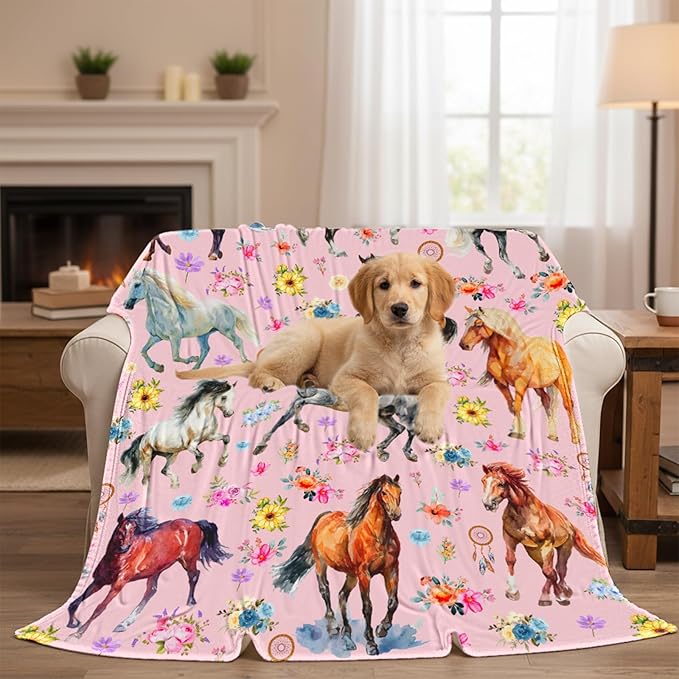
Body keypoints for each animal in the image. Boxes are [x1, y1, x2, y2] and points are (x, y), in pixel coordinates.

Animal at [67, 509, 230, 639]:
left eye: (133, 530)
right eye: (121, 529)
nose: (125, 547)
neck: (116, 559)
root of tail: (195, 523)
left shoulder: (118, 584)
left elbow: (99, 608)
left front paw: (78, 633)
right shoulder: (99, 581)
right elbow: (75, 602)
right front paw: (73, 623)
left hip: (187, 560)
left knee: (194, 575)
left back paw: (191, 601)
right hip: (157, 569)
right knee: (151, 591)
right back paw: (124, 624)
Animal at [123, 269, 258, 372]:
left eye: (137, 284)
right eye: (129, 285)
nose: (126, 304)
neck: (163, 313)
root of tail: (227, 306)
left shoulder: (175, 337)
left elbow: (175, 357)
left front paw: (191, 358)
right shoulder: (156, 337)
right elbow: (143, 351)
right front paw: (157, 367)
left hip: (226, 330)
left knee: (238, 341)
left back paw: (245, 361)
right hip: (203, 335)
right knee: (205, 349)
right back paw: (195, 368)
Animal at [272, 475, 401, 656]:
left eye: (400, 491)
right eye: (384, 492)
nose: (396, 514)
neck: (377, 536)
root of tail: (323, 517)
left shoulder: (391, 569)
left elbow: (393, 602)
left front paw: (382, 629)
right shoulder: (364, 574)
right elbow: (367, 607)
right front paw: (371, 644)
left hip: (352, 574)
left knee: (342, 596)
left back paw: (347, 637)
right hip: (322, 564)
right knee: (325, 590)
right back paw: (333, 626)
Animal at [459, 306, 580, 444]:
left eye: (478, 324)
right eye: (466, 324)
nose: (463, 345)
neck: (510, 352)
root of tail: (555, 344)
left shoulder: (520, 383)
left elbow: (517, 406)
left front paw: (517, 433)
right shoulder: (501, 383)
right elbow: (512, 406)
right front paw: (518, 430)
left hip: (561, 382)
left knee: (568, 405)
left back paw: (575, 438)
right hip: (538, 386)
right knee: (546, 400)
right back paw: (553, 435)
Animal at [481, 462, 605, 606]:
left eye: (501, 484)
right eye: (483, 481)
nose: (487, 504)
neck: (523, 512)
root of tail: (569, 524)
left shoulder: (546, 544)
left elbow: (549, 571)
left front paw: (561, 596)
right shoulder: (509, 538)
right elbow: (511, 560)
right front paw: (513, 592)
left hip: (564, 548)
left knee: (559, 569)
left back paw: (563, 591)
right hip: (533, 551)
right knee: (551, 571)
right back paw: (547, 596)